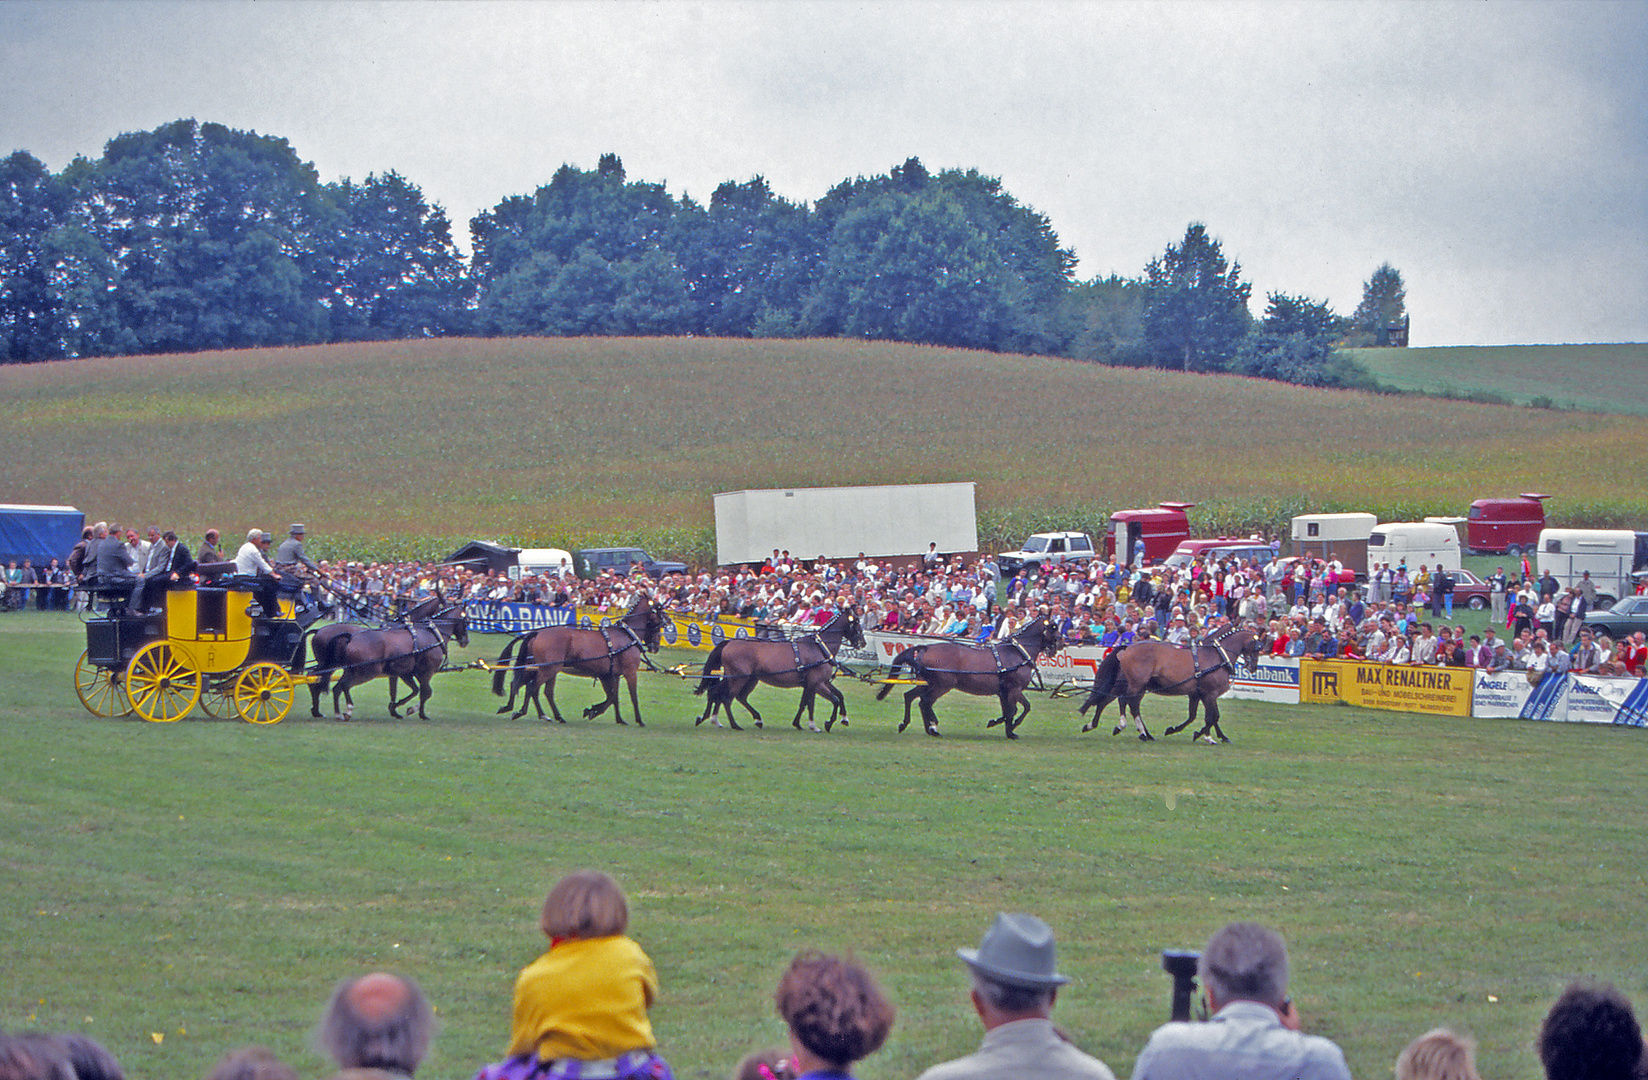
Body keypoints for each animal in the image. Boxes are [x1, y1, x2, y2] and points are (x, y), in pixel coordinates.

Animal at [487, 600, 669, 725]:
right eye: (658, 620)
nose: (655, 646)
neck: (626, 636)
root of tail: (538, 633)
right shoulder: (629, 673)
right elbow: (632, 697)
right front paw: (638, 720)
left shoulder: (609, 675)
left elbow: (613, 697)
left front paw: (611, 716)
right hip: (548, 670)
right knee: (533, 688)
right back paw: (527, 712)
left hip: (541, 669)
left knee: (527, 687)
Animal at [692, 606, 870, 735]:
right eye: (856, 622)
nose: (863, 643)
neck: (819, 647)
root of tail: (729, 643)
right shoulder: (817, 683)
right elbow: (830, 700)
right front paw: (826, 724)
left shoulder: (816, 683)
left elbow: (815, 701)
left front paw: (809, 723)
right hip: (738, 678)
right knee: (726, 697)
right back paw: (734, 724)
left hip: (748, 678)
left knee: (723, 694)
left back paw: (717, 719)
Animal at [876, 616, 1054, 745]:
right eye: (1053, 627)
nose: (1058, 645)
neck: (1016, 653)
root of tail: (927, 647)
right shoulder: (1014, 689)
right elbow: (1014, 710)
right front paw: (1003, 727)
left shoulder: (1006, 692)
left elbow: (1016, 709)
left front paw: (1008, 729)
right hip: (942, 685)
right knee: (925, 701)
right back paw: (932, 727)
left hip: (928, 683)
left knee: (911, 697)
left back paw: (912, 725)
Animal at [1081, 626, 1259, 745]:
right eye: (1257, 647)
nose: (1253, 667)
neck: (1217, 657)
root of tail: (1128, 647)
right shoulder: (1210, 694)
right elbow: (1211, 717)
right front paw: (1205, 736)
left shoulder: (1197, 694)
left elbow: (1200, 716)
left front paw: (1214, 736)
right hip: (1136, 684)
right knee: (1127, 702)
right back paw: (1130, 729)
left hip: (1130, 685)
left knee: (1111, 701)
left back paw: (1095, 725)